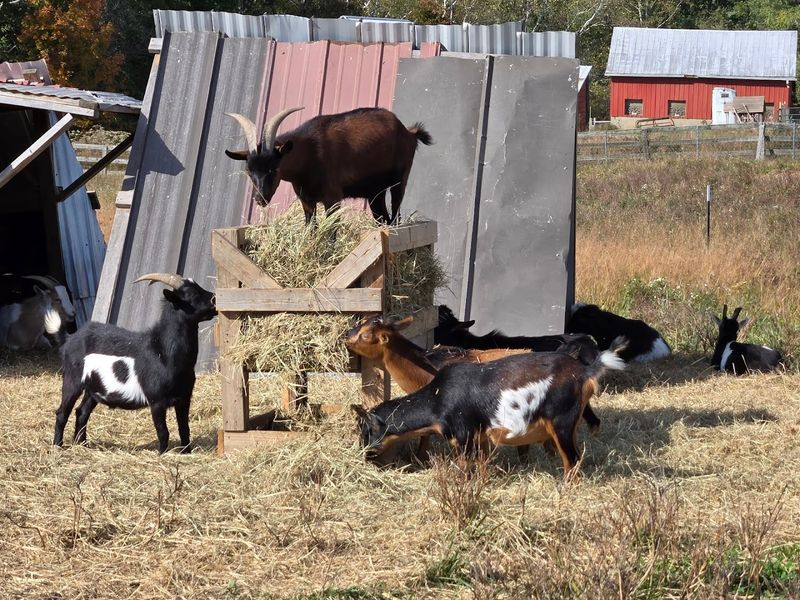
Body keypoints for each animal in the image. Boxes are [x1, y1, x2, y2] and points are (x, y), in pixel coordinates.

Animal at [52, 273, 217, 453]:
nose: (215, 300)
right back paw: (57, 445)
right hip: (72, 380)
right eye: (192, 294)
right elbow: (163, 432)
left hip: (93, 390)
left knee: (82, 412)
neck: (162, 351)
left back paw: (82, 444)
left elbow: (184, 429)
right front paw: (162, 454)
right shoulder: (157, 401)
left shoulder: (184, 398)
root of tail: (70, 339)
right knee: (62, 412)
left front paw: (186, 452)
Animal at [225, 107, 432, 225]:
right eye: (249, 171)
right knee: (383, 218)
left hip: (400, 179)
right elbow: (311, 228)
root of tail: (409, 132)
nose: (260, 199)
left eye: (273, 169)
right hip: (375, 193)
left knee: (396, 215)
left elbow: (331, 233)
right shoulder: (306, 200)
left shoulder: (333, 198)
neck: (310, 153)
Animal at [352, 338, 628, 478]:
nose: (363, 456)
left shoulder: (463, 436)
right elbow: (483, 464)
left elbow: (465, 468)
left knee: (572, 460)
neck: (438, 398)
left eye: (367, 431)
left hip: (561, 423)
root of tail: (585, 372)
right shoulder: (481, 437)